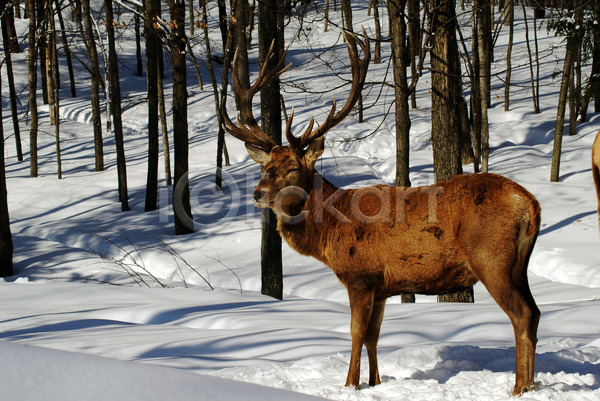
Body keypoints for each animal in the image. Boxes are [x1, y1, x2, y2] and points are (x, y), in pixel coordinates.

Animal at [223, 30, 540, 394]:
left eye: (292, 168)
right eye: (266, 166)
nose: (258, 192)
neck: (330, 229)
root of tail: (529, 203)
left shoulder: (360, 274)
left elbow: (356, 332)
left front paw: (349, 384)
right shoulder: (383, 285)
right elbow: (374, 335)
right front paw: (374, 382)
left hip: (492, 258)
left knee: (521, 314)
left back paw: (520, 388)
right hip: (519, 264)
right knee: (535, 313)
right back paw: (531, 384)